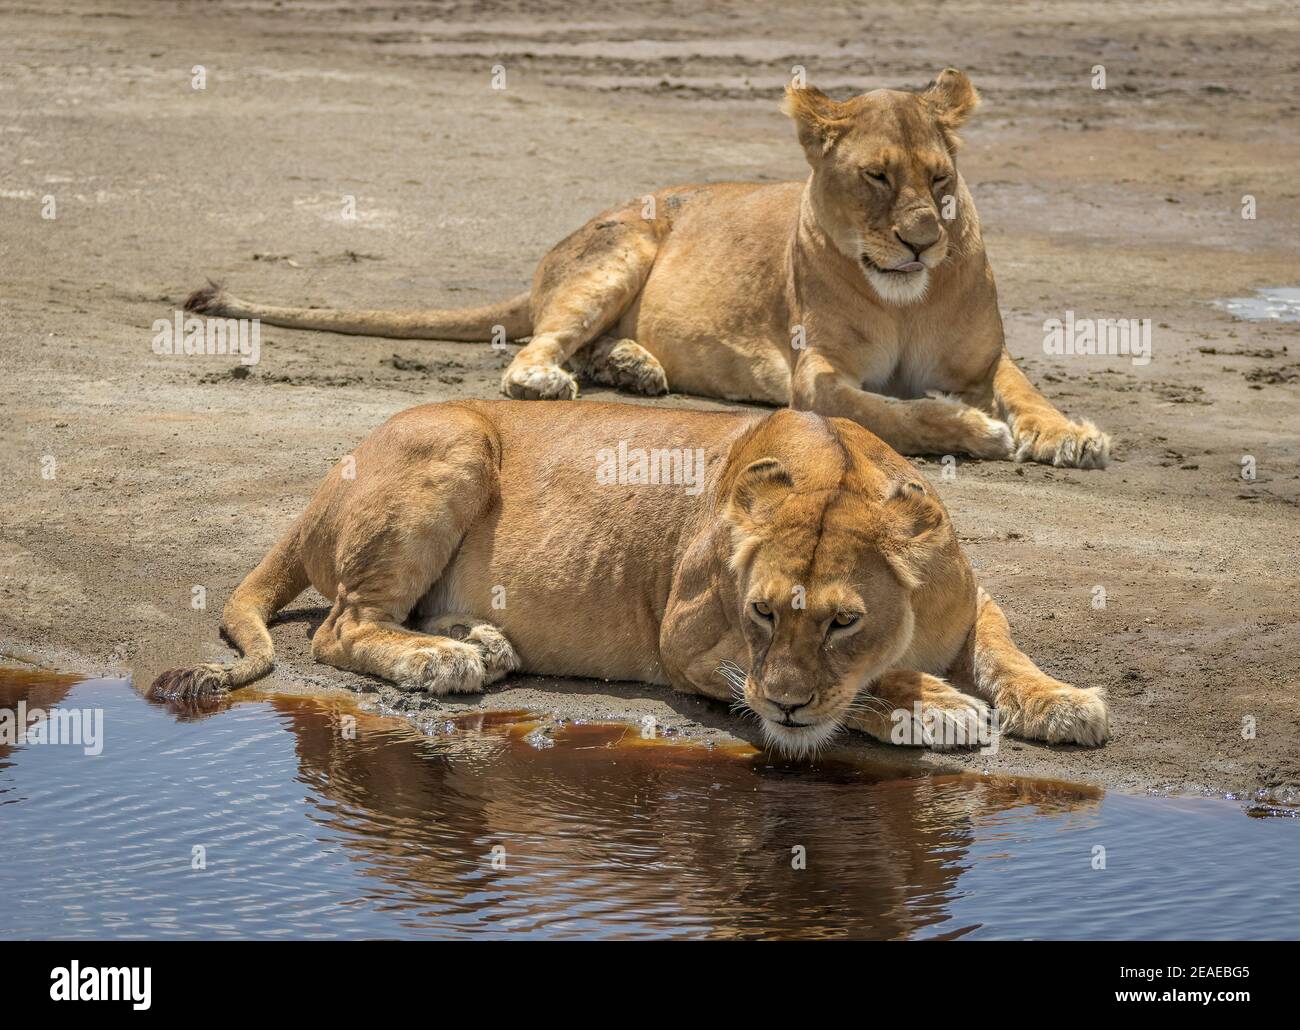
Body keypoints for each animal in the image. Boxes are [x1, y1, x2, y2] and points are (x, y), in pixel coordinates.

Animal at [152, 401, 1109, 754]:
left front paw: (1062, 702)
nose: (785, 712)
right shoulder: (689, 641)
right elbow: (860, 688)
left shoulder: (972, 599)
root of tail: (327, 477)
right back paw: (444, 660)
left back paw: (481, 640)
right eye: (764, 613)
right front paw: (931, 703)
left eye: (843, 621)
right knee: (341, 626)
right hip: (456, 441)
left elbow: (1008, 652)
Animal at [186, 68, 1109, 469]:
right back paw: (566, 376)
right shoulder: (815, 377)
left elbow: (1025, 389)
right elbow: (892, 413)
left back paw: (632, 365)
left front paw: (1068, 433)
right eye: (877, 177)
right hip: (627, 242)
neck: (907, 299)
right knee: (534, 352)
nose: (921, 242)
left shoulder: (983, 357)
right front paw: (971, 429)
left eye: (940, 179)